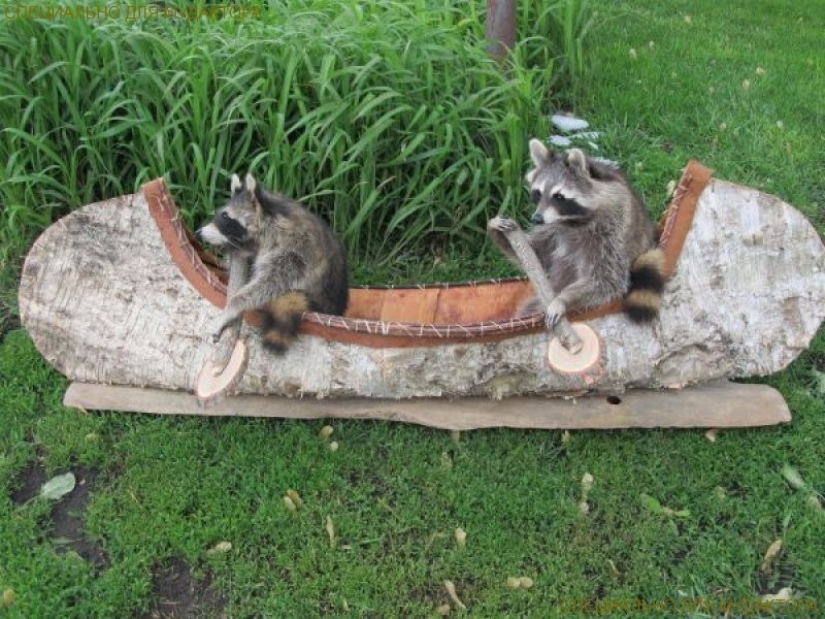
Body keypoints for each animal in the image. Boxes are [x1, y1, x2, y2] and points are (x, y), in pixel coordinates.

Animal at [198, 173, 349, 352]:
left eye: (226, 217)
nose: (198, 233)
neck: (272, 214)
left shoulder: (294, 252)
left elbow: (267, 284)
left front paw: (232, 307)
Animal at [487, 140, 666, 325]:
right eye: (538, 193)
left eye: (558, 196)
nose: (537, 219)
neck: (572, 220)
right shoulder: (554, 229)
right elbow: (538, 256)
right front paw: (496, 229)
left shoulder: (612, 232)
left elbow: (606, 281)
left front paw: (562, 299)